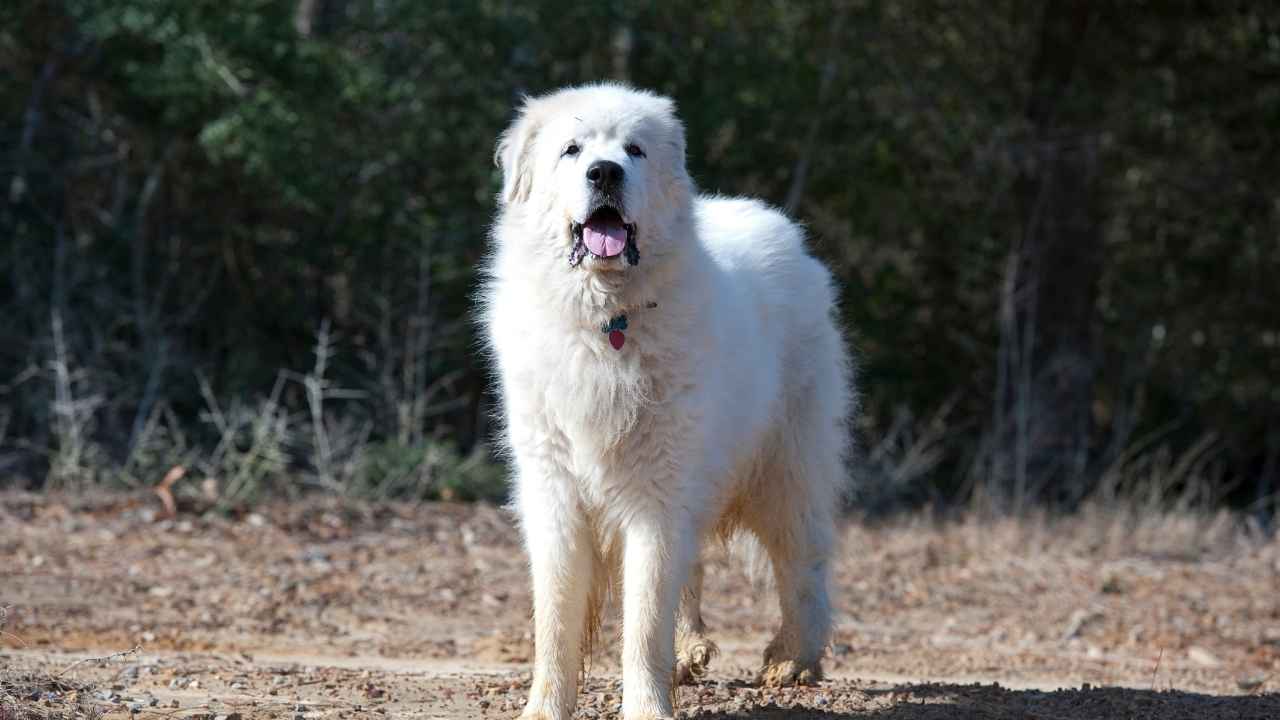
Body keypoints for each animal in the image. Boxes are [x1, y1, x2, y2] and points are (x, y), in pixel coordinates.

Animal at [481, 85, 849, 717]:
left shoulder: (657, 493)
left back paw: (793, 658)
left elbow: (645, 616)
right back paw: (690, 652)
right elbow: (555, 615)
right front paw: (546, 706)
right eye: (572, 150)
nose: (605, 172)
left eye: (635, 150)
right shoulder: (555, 489)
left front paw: (648, 705)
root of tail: (782, 228)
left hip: (783, 469)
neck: (607, 320)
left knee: (802, 565)